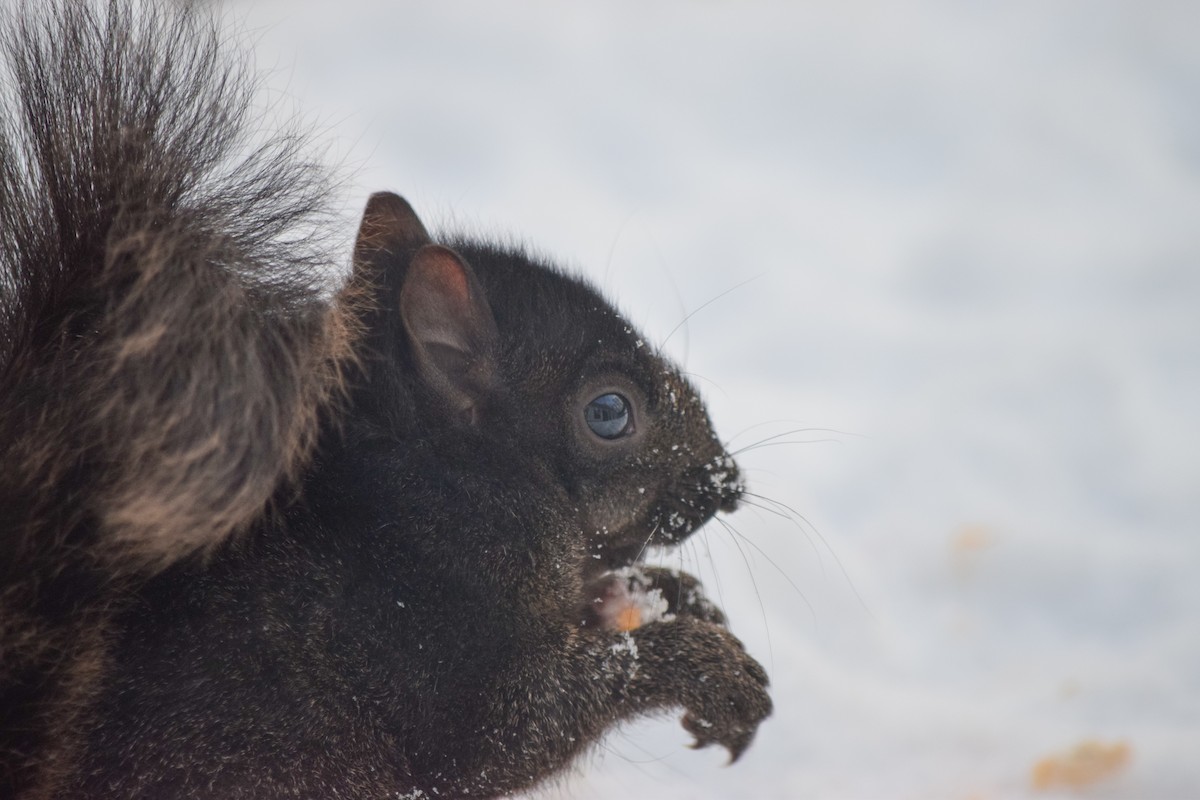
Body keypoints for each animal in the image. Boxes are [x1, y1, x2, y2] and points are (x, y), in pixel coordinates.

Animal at [0, 2, 771, 798]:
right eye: (609, 412)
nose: (727, 483)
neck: (453, 479)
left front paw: (679, 596)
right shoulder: (432, 643)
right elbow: (522, 726)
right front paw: (707, 667)